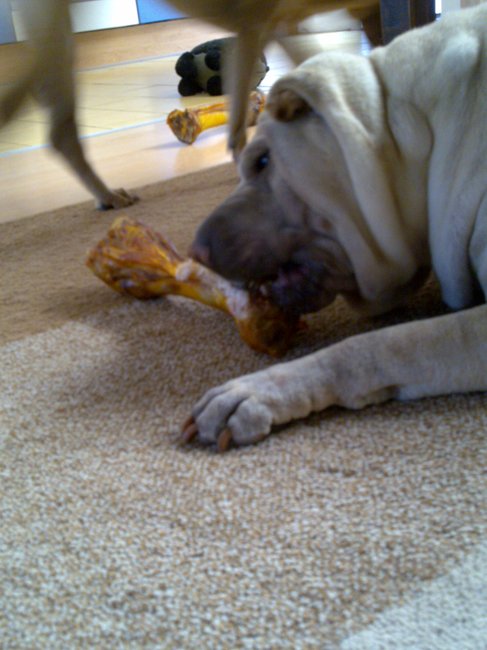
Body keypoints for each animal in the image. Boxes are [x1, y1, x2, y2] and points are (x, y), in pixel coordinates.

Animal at [0, 0, 379, 208]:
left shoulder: (275, 26)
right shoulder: (253, 26)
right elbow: (238, 128)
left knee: (54, 123)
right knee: (56, 126)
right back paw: (107, 195)